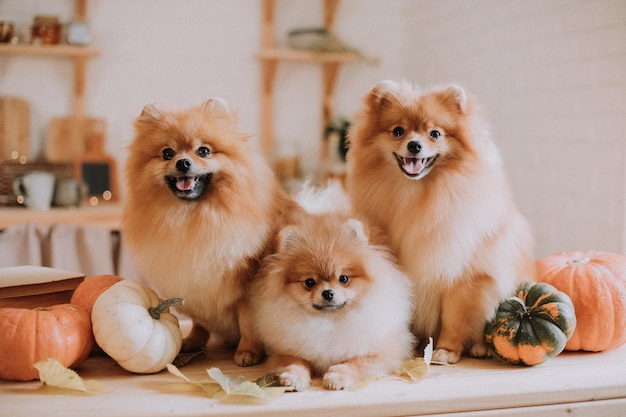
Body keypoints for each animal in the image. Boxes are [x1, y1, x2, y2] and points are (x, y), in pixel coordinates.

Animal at [123, 97, 298, 364]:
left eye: (203, 151)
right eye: (167, 153)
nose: (183, 162)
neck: (193, 217)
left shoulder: (247, 287)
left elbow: (248, 321)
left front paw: (247, 352)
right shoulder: (194, 283)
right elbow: (200, 321)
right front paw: (193, 341)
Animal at [247, 184, 414, 390]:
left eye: (343, 278)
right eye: (309, 282)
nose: (328, 293)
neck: (328, 322)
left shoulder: (381, 352)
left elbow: (355, 361)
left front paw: (338, 376)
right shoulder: (283, 349)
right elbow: (295, 360)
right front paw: (294, 376)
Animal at [344, 79, 532, 362]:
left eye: (435, 134)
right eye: (398, 131)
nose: (414, 145)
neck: (415, 195)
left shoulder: (462, 274)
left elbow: (455, 317)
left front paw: (446, 350)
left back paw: (481, 347)